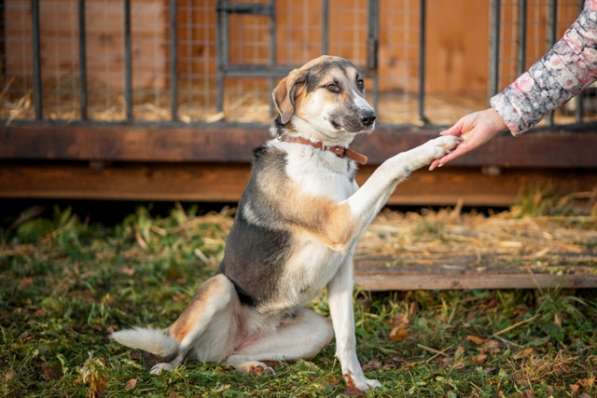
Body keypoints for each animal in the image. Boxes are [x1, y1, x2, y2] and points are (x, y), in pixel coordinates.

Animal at [110, 54, 456, 390]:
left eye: (360, 83)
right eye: (332, 86)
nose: (370, 116)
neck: (320, 150)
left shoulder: (342, 267)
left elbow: (347, 336)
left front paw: (356, 381)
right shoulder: (339, 221)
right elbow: (389, 165)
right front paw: (432, 147)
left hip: (315, 331)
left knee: (228, 357)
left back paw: (251, 366)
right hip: (218, 288)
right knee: (177, 347)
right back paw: (165, 368)